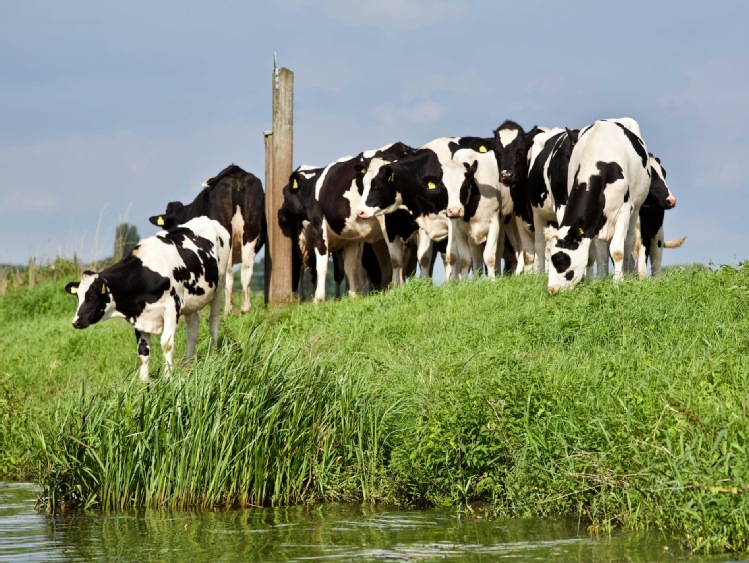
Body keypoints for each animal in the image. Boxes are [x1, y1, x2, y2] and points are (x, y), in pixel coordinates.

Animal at [64, 218, 231, 382]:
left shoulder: (172, 308)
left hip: (220, 285)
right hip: (191, 303)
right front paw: (143, 382)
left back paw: (214, 354)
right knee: (193, 329)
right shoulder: (139, 315)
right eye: (78, 296)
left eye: (91, 296)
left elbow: (166, 343)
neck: (145, 275)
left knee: (213, 322)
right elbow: (143, 351)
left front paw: (168, 377)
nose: (75, 322)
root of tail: (208, 219)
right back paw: (187, 364)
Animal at [148, 164, 264, 312]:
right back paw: (245, 308)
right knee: (246, 268)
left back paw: (228, 309)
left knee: (228, 271)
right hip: (250, 234)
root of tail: (237, 172)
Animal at [544, 119, 656, 296]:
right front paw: (590, 283)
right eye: (551, 257)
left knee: (629, 242)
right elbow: (591, 256)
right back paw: (603, 277)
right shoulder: (590, 225)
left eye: (560, 260)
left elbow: (617, 251)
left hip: (635, 209)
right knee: (602, 250)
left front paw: (618, 282)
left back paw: (627, 273)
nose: (552, 289)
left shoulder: (624, 211)